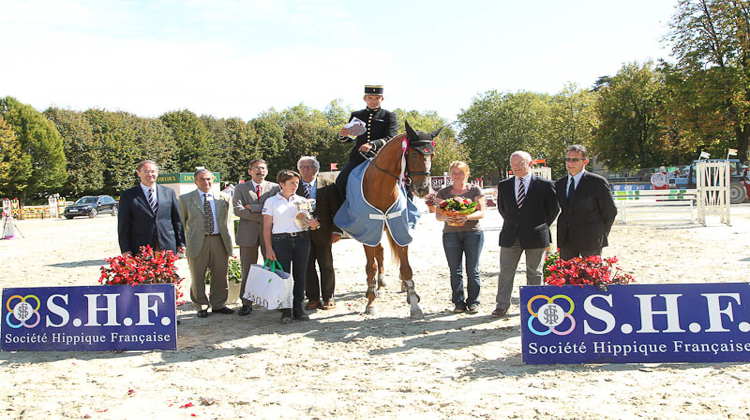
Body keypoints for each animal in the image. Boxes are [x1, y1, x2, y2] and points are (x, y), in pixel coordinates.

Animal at [362, 120, 444, 316]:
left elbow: (406, 267)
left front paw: (414, 302)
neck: (381, 188)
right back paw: (378, 286)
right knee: (379, 254)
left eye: (432, 155)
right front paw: (371, 301)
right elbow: (371, 267)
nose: (424, 189)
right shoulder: (368, 233)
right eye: (413, 154)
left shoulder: (399, 227)